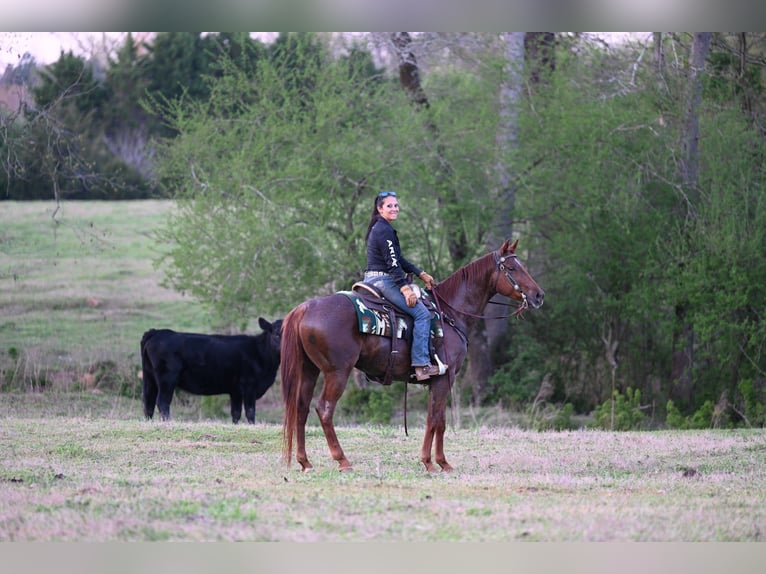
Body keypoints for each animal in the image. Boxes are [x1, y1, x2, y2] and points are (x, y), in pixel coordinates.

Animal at [281, 238, 544, 473]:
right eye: (512, 268)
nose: (538, 295)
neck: (450, 313)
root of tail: (305, 308)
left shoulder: (438, 381)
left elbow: (438, 420)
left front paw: (440, 462)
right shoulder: (444, 378)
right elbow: (435, 419)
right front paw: (432, 462)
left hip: (309, 370)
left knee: (301, 409)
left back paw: (305, 462)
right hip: (337, 372)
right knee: (324, 409)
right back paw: (342, 461)